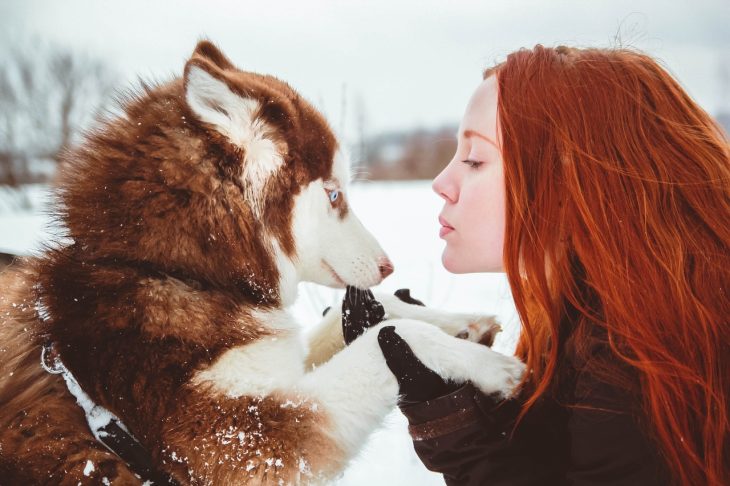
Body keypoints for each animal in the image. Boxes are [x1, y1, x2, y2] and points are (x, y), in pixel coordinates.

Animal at [0, 42, 524, 486]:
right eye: (335, 195)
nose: (388, 266)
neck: (183, 272)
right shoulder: (243, 440)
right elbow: (386, 339)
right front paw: (489, 365)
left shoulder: (273, 373)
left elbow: (358, 322)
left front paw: (458, 323)